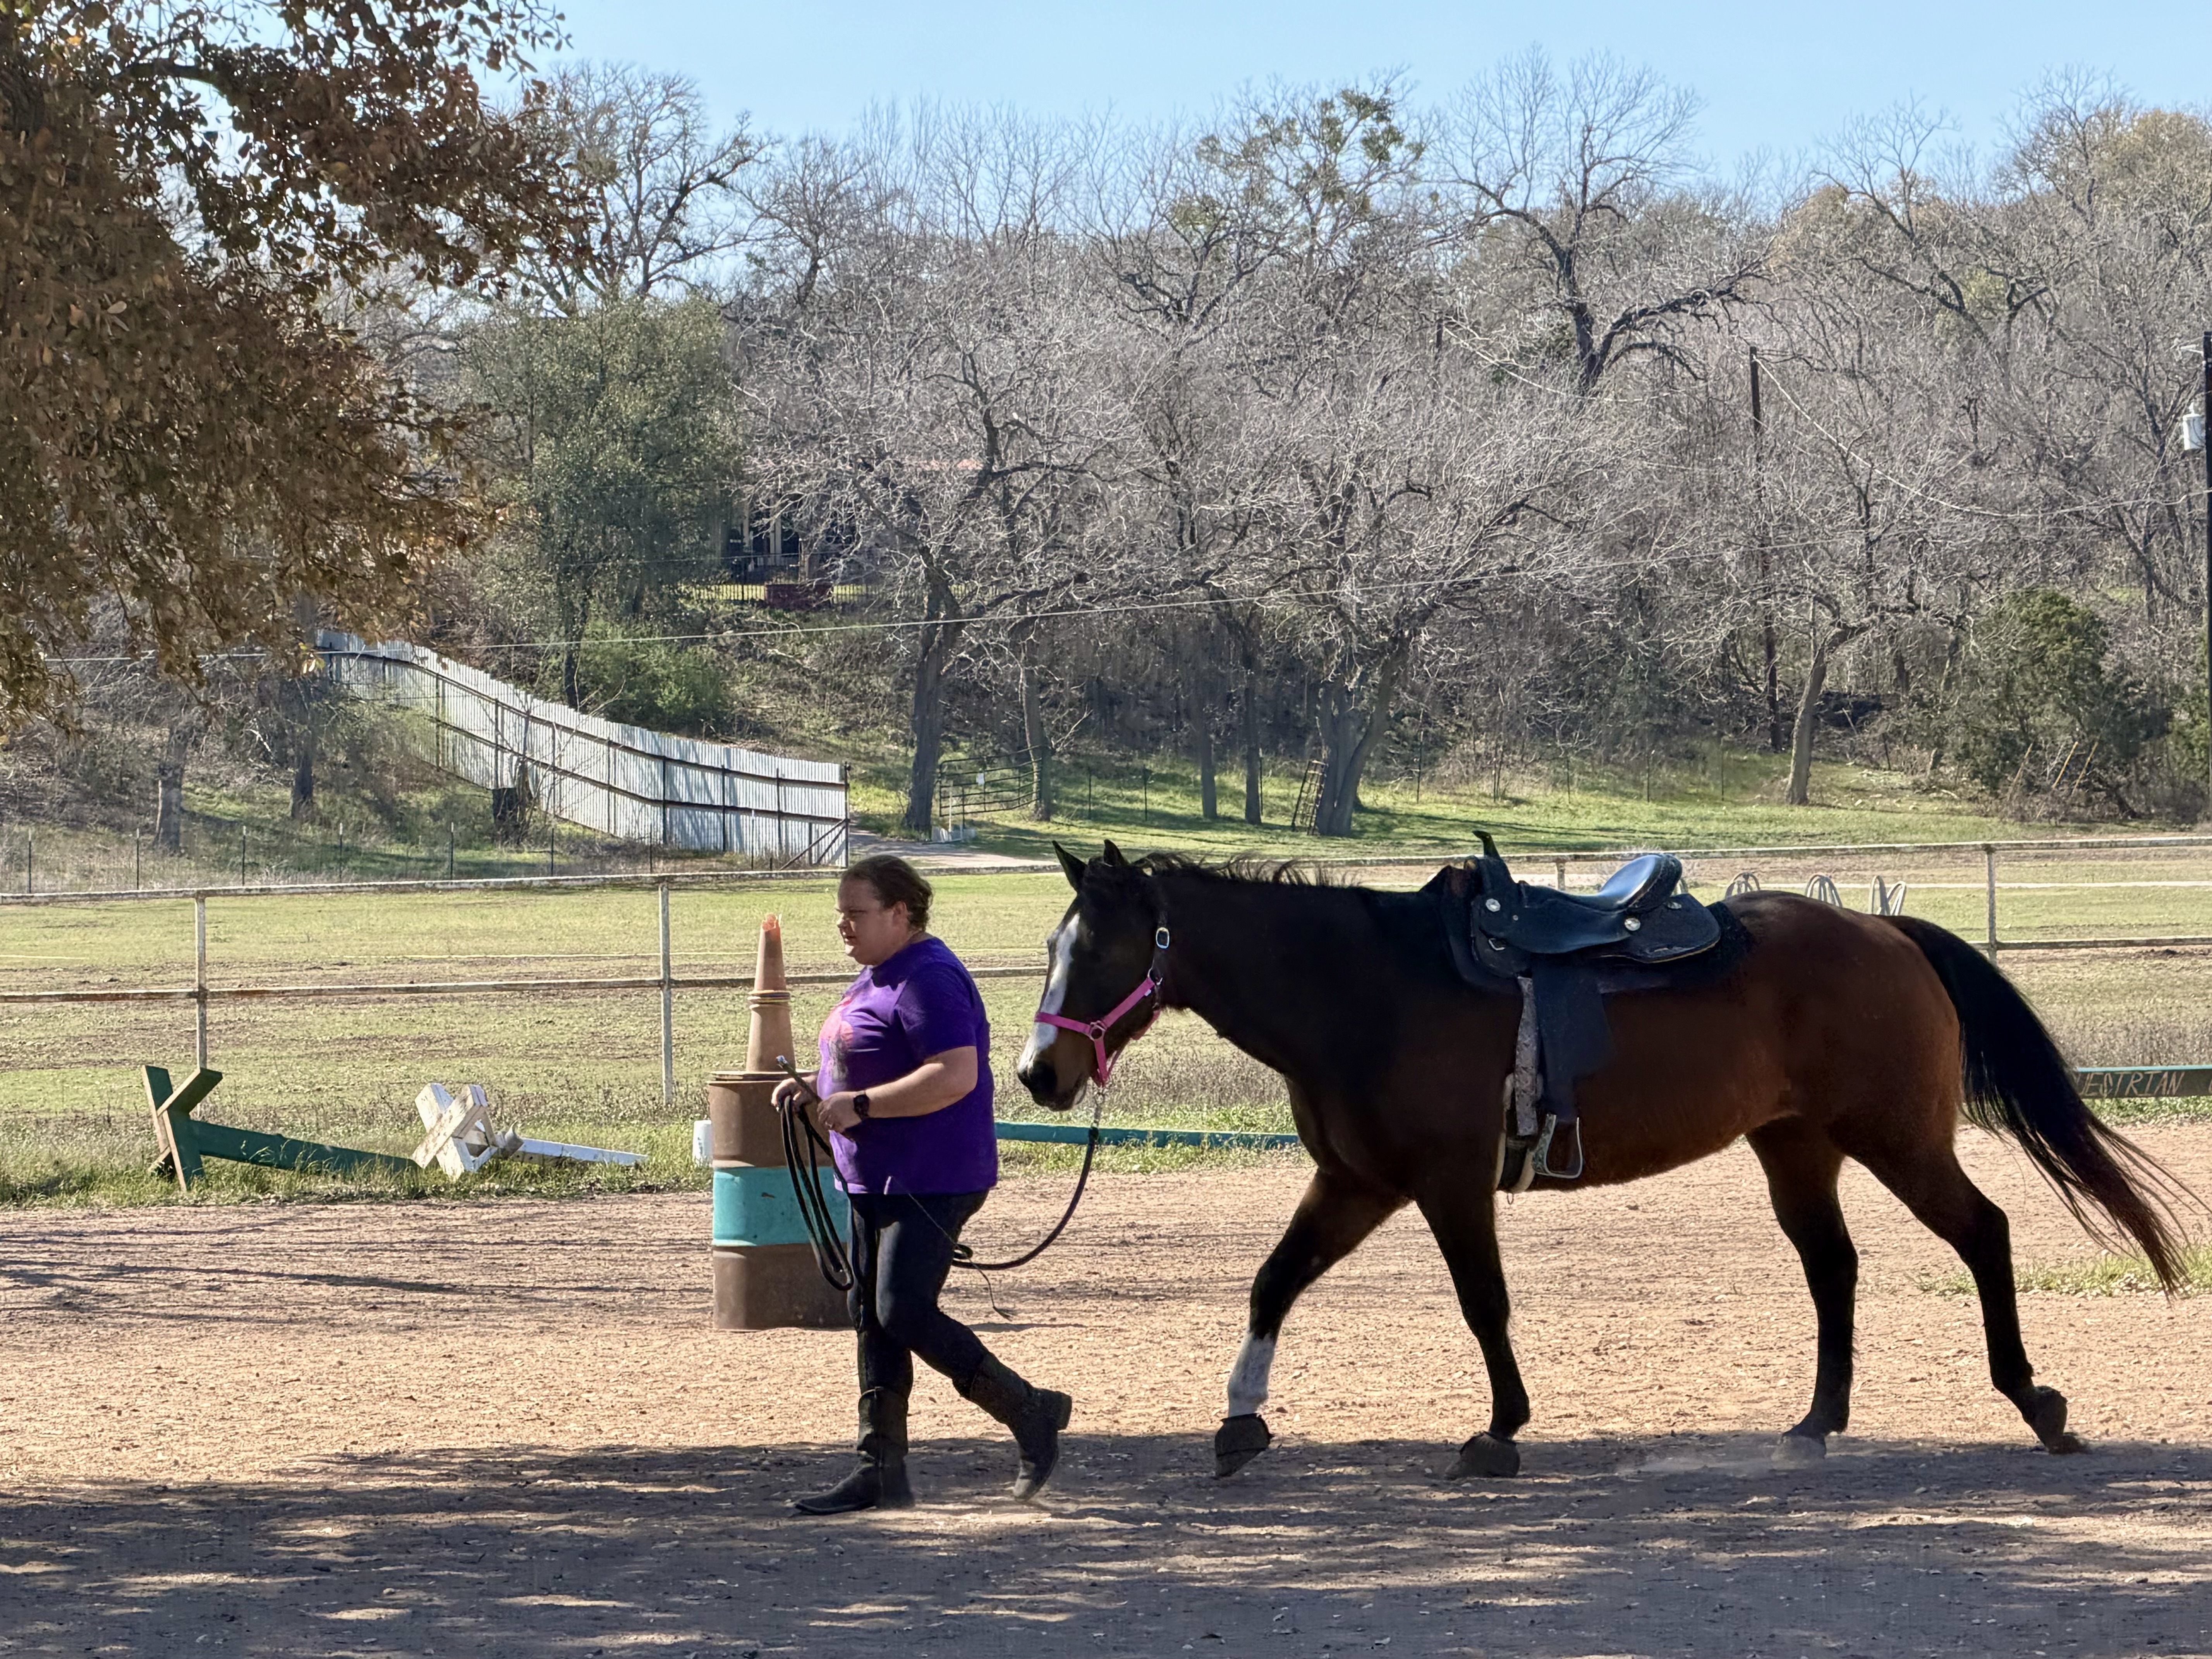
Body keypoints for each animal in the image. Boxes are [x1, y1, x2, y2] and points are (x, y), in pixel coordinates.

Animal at [1014, 841, 2191, 1479]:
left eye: (1105, 948)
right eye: (1052, 946)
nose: (1037, 1073)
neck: (1369, 991)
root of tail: (1885, 932)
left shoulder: (1443, 1184)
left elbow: (1483, 1303)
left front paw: (1499, 1431)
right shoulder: (1358, 1183)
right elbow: (1272, 1282)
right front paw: (1239, 1419)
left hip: (1895, 1138)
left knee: (1983, 1232)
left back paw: (2035, 1401)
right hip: (1797, 1145)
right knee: (1834, 1268)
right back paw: (1816, 1423)